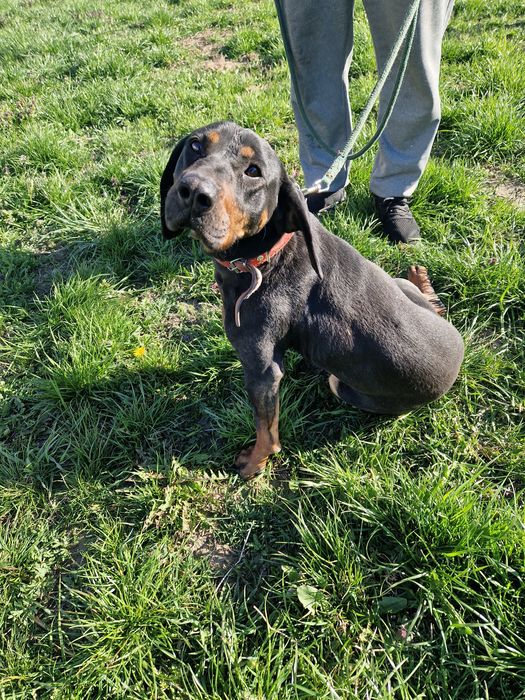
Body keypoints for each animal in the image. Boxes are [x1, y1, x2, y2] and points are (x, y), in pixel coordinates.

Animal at [161, 121, 464, 479]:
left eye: (253, 171)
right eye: (195, 146)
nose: (194, 192)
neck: (264, 257)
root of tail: (459, 356)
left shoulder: (262, 370)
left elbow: (266, 430)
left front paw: (254, 464)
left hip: (342, 385)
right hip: (401, 286)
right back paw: (421, 279)